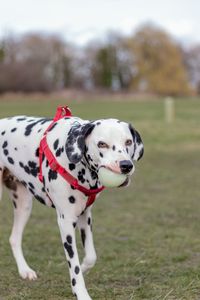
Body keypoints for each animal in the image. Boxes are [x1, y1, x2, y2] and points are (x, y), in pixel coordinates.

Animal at [0, 108, 144, 300]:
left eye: (128, 141)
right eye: (102, 144)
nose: (126, 165)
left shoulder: (85, 216)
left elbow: (90, 257)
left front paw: (80, 273)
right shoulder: (66, 222)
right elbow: (73, 265)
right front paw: (81, 292)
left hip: (24, 205)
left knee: (14, 238)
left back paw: (25, 271)